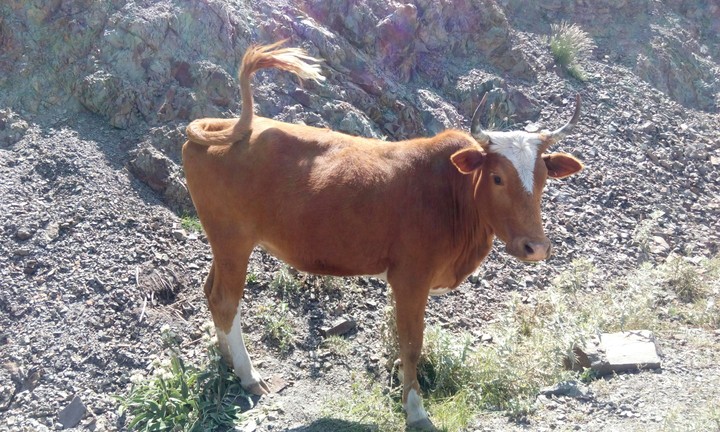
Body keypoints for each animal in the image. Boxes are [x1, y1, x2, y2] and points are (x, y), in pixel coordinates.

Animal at [182, 40, 583, 430]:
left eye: (543, 179)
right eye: (498, 178)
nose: (536, 247)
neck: (452, 193)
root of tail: (224, 124)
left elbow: (398, 337)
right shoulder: (410, 277)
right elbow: (411, 343)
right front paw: (415, 410)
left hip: (223, 243)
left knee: (211, 292)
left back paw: (227, 359)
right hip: (233, 239)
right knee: (226, 300)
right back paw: (248, 374)